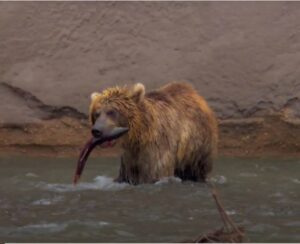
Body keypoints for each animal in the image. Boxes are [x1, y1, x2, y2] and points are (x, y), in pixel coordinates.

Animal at [75, 81, 218, 184]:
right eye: (96, 113)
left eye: (112, 112)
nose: (97, 131)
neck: (138, 136)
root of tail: (195, 94)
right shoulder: (130, 158)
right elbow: (126, 176)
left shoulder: (157, 147)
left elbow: (155, 173)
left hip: (197, 145)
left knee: (197, 168)